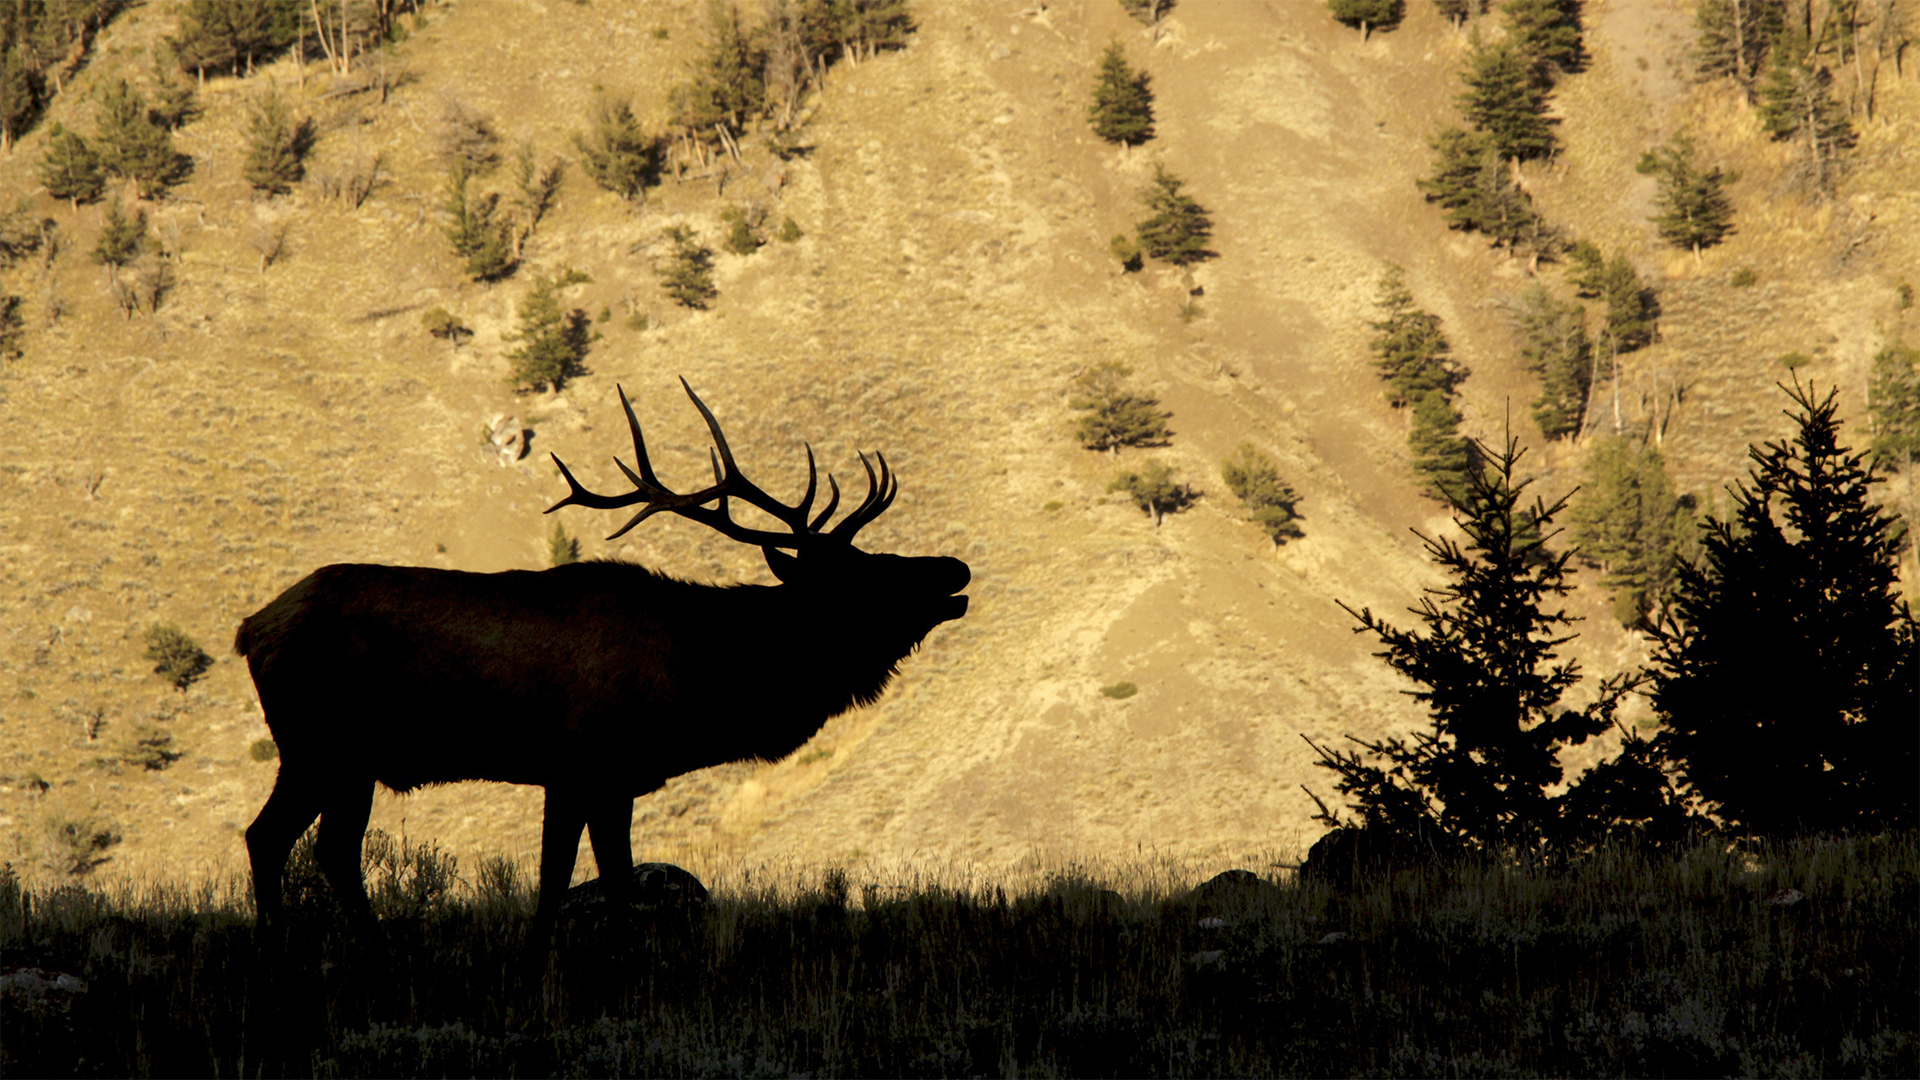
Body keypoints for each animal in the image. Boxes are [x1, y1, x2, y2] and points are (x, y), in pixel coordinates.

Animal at [234, 379, 970, 960]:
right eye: (865, 575)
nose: (955, 569)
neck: (703, 683)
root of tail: (250, 630)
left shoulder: (613, 780)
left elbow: (609, 880)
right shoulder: (579, 766)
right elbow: (562, 878)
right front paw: (549, 965)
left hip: (337, 760)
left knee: (309, 845)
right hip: (322, 748)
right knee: (287, 840)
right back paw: (308, 950)